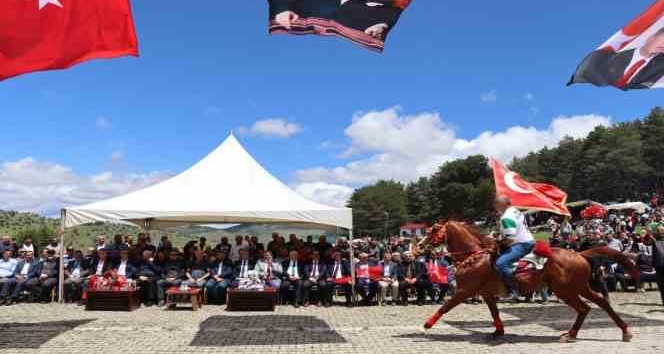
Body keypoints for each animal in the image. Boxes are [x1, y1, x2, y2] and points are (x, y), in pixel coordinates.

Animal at [418, 221, 640, 342]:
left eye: (432, 230)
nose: (419, 246)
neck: (474, 256)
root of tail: (579, 254)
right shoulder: (487, 294)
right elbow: (495, 313)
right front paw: (498, 331)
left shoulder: (464, 290)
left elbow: (446, 306)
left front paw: (427, 325)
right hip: (578, 287)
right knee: (597, 304)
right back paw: (621, 332)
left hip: (566, 290)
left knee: (585, 307)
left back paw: (572, 334)